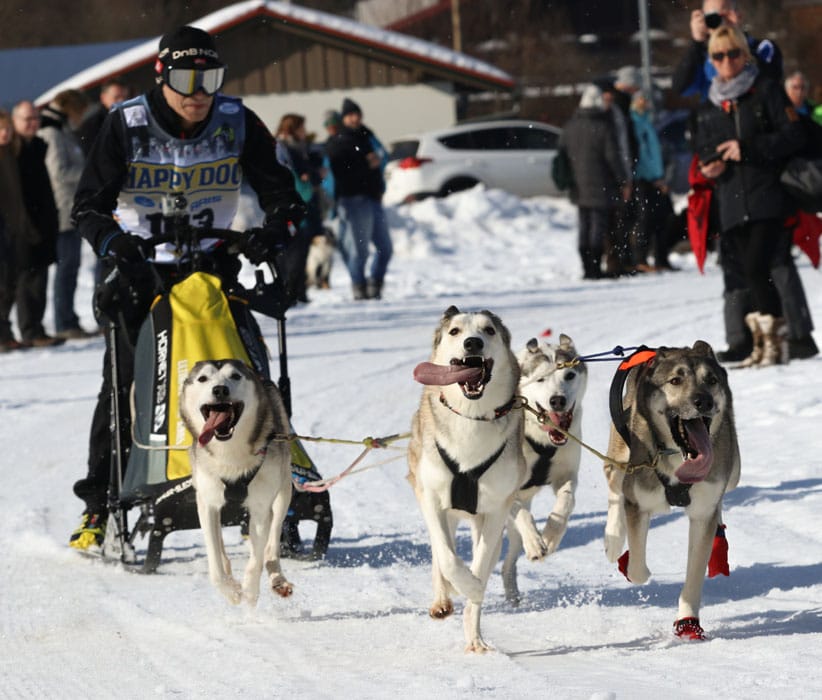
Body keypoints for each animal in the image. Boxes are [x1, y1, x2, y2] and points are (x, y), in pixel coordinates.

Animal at [182, 358, 294, 604]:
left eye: (235, 376)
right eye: (203, 378)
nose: (220, 390)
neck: (230, 456)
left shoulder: (261, 508)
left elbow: (256, 559)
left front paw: (249, 593)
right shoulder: (207, 503)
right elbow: (215, 563)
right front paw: (231, 591)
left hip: (284, 492)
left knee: (271, 545)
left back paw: (278, 580)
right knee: (222, 549)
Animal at [410, 306, 528, 652]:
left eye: (489, 330)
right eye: (455, 331)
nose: (472, 343)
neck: (471, 418)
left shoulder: (496, 510)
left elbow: (480, 566)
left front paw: (474, 591)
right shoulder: (431, 498)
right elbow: (447, 558)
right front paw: (462, 587)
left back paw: (474, 637)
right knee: (442, 553)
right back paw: (443, 598)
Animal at [502, 334, 584, 600]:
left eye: (569, 375)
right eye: (540, 379)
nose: (557, 400)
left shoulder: (567, 475)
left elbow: (566, 503)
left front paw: (549, 537)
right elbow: (522, 514)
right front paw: (536, 542)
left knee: (508, 561)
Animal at [600, 340, 744, 640]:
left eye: (711, 380)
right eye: (675, 381)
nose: (704, 402)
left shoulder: (703, 511)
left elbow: (694, 573)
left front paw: (688, 621)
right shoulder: (639, 501)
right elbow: (637, 569)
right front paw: (627, 559)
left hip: (734, 471)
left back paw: (719, 542)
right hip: (618, 458)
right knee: (615, 485)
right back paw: (614, 540)